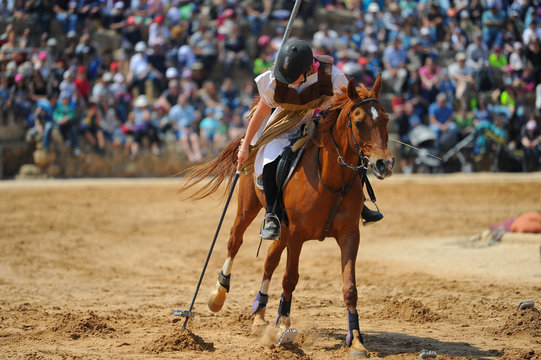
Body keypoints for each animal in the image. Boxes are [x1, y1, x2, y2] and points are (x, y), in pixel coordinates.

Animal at [179, 75, 394, 358]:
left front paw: (356, 341)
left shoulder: (349, 235)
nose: (384, 164)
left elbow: (350, 288)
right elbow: (290, 279)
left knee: (269, 261)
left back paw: (259, 315)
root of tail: (252, 141)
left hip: (281, 227)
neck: (331, 178)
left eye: (386, 119)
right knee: (234, 242)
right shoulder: (297, 235)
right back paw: (219, 294)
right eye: (358, 122)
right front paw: (283, 327)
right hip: (249, 209)